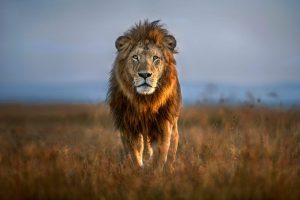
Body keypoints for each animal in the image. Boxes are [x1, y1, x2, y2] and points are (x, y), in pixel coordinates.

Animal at [108, 19, 183, 169]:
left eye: (156, 58)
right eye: (135, 57)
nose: (144, 74)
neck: (145, 101)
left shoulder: (163, 124)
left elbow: (160, 153)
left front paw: (154, 170)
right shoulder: (128, 125)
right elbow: (134, 153)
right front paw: (139, 169)